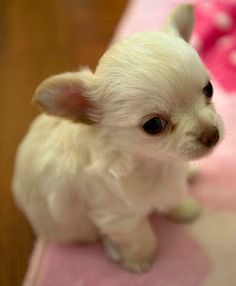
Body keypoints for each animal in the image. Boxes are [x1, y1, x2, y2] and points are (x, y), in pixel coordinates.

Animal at [12, 4, 223, 272]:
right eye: (154, 125)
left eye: (209, 89)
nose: (212, 135)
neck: (154, 163)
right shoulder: (117, 216)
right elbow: (140, 235)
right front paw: (140, 261)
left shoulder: (167, 184)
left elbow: (171, 196)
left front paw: (184, 209)